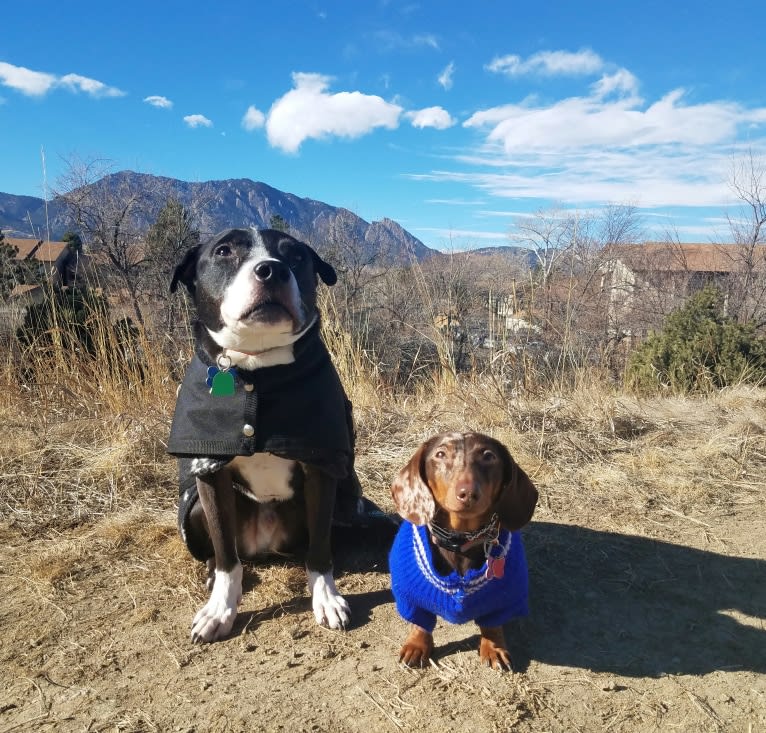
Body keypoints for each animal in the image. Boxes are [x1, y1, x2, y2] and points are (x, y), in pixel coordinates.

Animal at [170, 227, 366, 640]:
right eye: (223, 252)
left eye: (296, 256)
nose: (271, 270)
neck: (258, 370)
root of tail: (264, 543)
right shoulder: (209, 470)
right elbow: (226, 554)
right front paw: (220, 609)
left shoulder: (321, 466)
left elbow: (320, 550)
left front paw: (326, 597)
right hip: (193, 507)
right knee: (223, 551)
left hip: (344, 499)